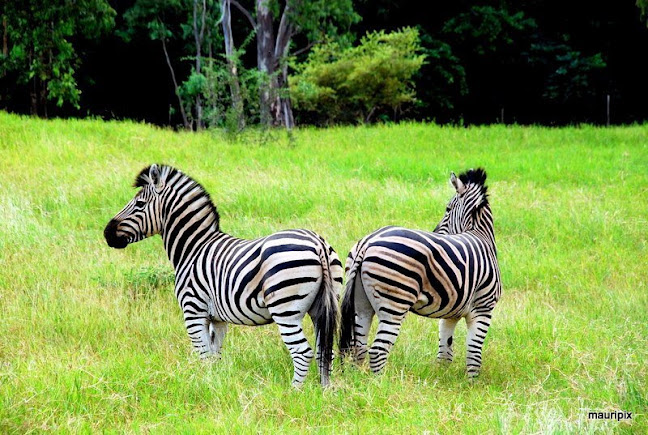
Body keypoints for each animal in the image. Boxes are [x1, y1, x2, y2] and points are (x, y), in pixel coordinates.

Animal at [103, 164, 342, 388]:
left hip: (285, 309)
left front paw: (202, 386)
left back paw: (294, 392)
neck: (193, 248)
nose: (106, 234)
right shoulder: (217, 319)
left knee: (303, 352)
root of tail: (318, 244)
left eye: (139, 204)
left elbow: (203, 355)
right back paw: (325, 391)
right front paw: (215, 384)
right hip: (321, 307)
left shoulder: (193, 311)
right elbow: (214, 356)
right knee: (324, 351)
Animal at [340, 169, 502, 380]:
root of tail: (367, 242)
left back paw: (359, 381)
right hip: (396, 302)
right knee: (377, 350)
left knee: (358, 347)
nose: (436, 231)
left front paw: (441, 378)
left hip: (361, 303)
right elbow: (474, 352)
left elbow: (445, 351)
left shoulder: (451, 314)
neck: (480, 235)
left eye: (447, 209)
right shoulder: (483, 308)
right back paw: (381, 384)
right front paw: (472, 382)